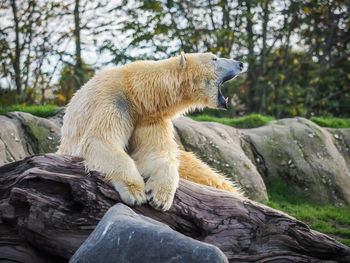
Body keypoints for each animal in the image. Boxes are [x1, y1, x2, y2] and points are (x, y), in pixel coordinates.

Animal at [57, 52, 243, 211]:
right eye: (214, 58)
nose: (240, 63)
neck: (135, 91)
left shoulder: (149, 117)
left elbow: (156, 152)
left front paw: (160, 196)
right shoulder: (112, 100)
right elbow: (100, 141)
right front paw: (135, 192)